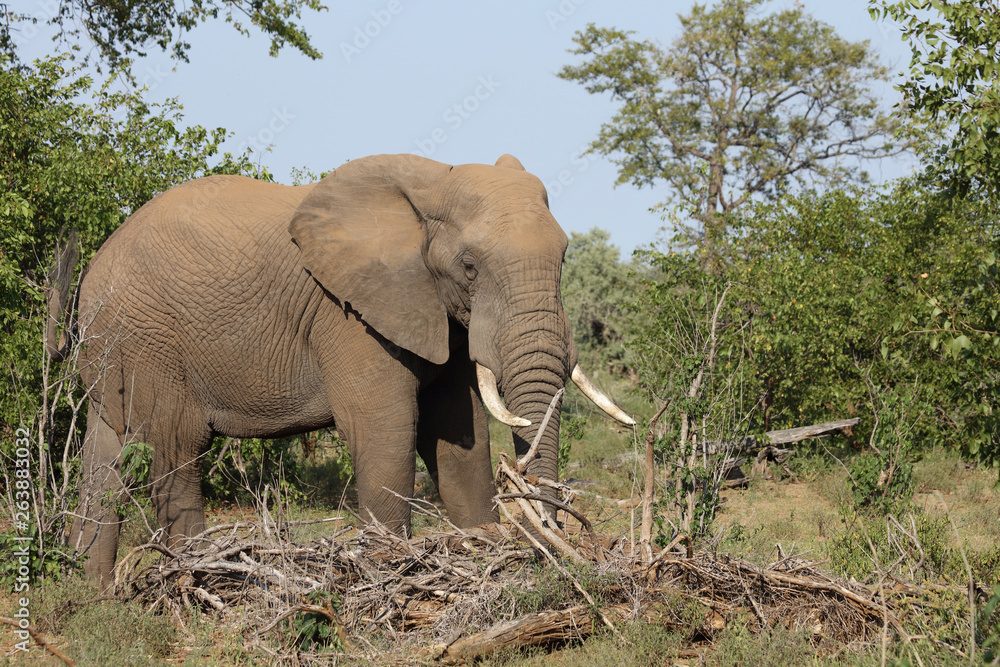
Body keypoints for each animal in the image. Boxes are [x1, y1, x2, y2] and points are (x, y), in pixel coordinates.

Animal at [48, 153, 634, 589]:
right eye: (469, 266)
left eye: (564, 257)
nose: (552, 531)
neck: (430, 186)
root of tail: (92, 271)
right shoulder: (350, 315)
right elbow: (385, 427)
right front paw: (395, 572)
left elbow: (457, 433)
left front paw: (486, 551)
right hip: (149, 339)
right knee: (176, 450)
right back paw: (197, 578)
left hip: (115, 349)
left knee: (105, 456)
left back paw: (91, 598)